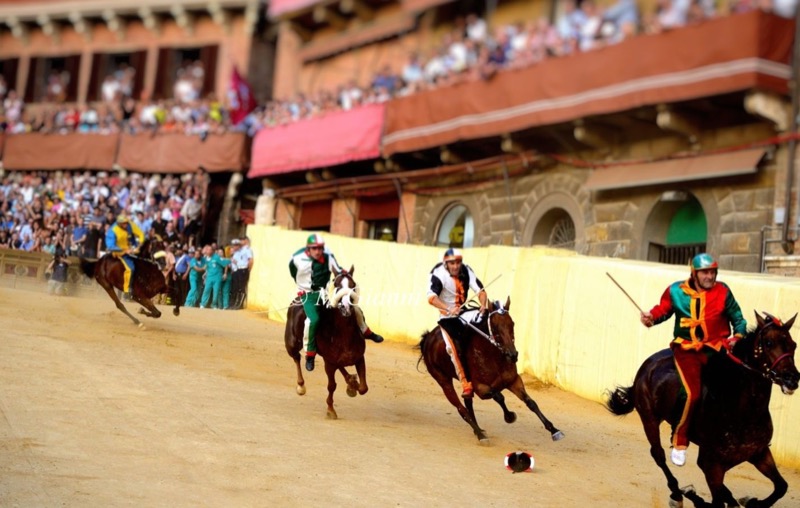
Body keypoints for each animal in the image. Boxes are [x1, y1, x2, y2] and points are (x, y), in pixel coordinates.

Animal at [284, 268, 368, 418]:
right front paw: (331, 410)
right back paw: (301, 385)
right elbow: (332, 385)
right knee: (296, 357)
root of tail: (299, 297)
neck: (343, 334)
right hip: (291, 343)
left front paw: (352, 385)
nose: (346, 307)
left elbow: (364, 388)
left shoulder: (359, 357)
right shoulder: (329, 362)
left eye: (353, 286)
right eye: (337, 286)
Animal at [416, 298, 564, 444]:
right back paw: (481, 435)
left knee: (467, 403)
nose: (513, 355)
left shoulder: (514, 381)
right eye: (495, 326)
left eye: (512, 323)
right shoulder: (481, 389)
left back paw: (478, 431)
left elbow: (531, 403)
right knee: (461, 409)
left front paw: (554, 430)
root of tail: (428, 337)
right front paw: (509, 416)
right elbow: (499, 396)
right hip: (443, 381)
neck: (493, 357)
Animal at [608, 310, 800, 508]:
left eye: (793, 345)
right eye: (769, 343)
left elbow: (781, 487)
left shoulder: (759, 453)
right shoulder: (712, 464)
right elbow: (716, 499)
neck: (743, 411)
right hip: (649, 418)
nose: (792, 379)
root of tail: (648, 365)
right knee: (658, 454)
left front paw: (751, 501)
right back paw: (678, 493)